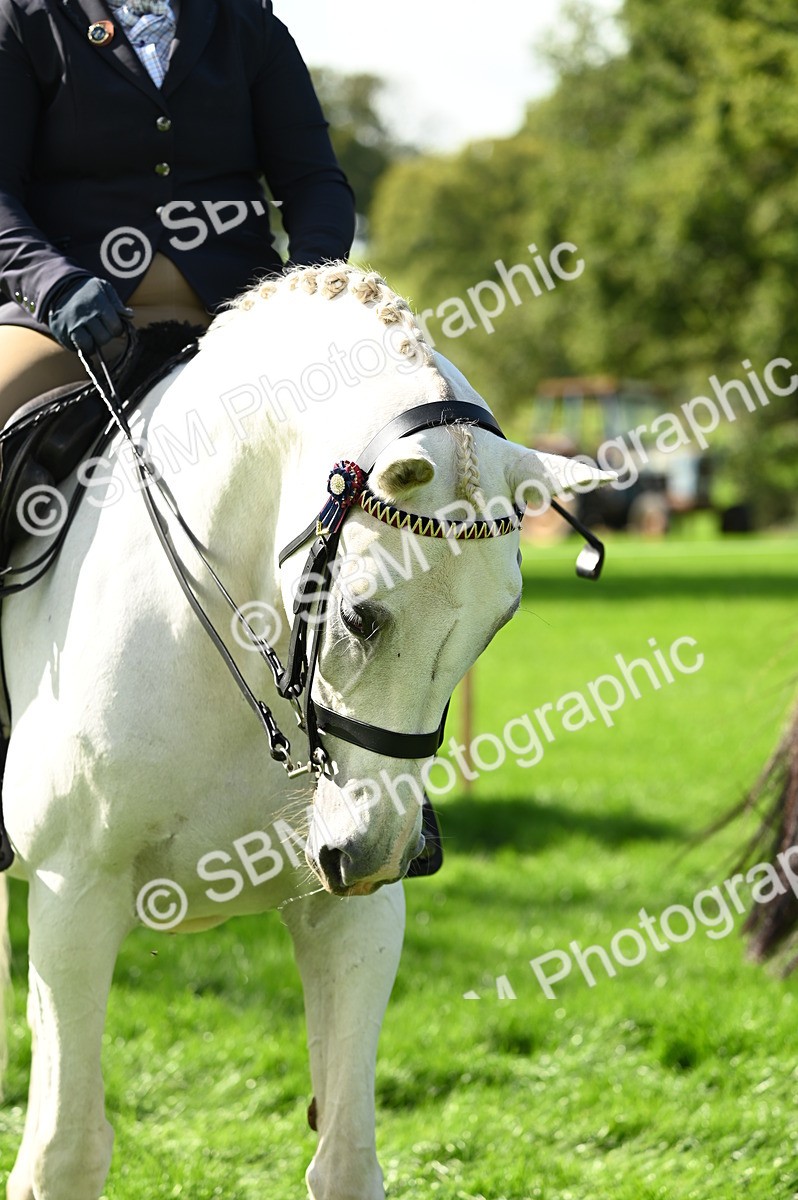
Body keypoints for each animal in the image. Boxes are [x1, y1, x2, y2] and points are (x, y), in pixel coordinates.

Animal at [0, 263, 609, 1200]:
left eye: (496, 625)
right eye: (359, 617)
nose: (375, 852)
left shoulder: (353, 913)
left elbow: (348, 1156)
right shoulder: (74, 896)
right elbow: (64, 1154)